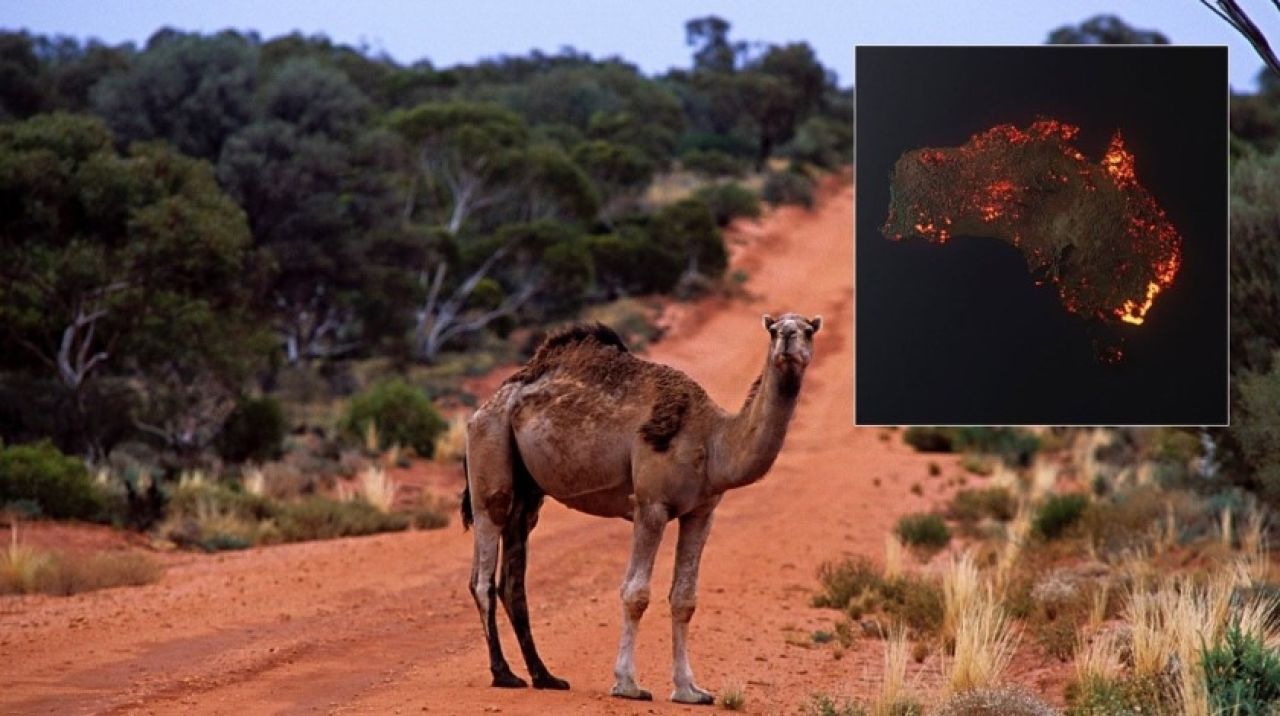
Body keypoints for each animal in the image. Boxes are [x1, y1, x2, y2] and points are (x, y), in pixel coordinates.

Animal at [460, 313, 819, 707]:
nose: (788, 337)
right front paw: (627, 684)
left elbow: (684, 598)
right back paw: (504, 674)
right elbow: (635, 593)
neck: (712, 440)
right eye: (773, 329)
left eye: (808, 330)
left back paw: (545, 676)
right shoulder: (651, 505)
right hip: (490, 456)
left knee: (512, 578)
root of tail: (486, 405)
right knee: (483, 571)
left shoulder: (701, 512)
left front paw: (690, 690)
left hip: (528, 493)